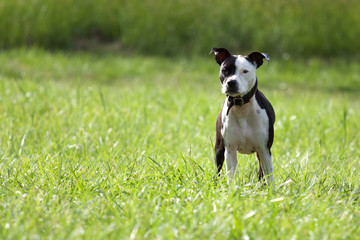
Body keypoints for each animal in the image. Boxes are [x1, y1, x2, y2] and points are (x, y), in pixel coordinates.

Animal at [208, 47, 276, 188]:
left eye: (245, 71)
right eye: (225, 70)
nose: (231, 82)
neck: (241, 107)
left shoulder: (264, 150)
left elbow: (269, 176)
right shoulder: (229, 150)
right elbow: (230, 175)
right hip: (219, 149)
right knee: (218, 169)